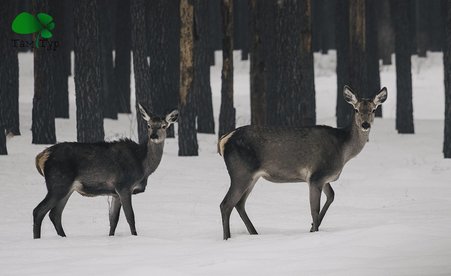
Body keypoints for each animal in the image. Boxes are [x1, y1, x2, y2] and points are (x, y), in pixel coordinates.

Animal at [32, 104, 178, 238]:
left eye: (163, 126)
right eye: (148, 125)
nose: (153, 136)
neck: (143, 166)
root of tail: (42, 155)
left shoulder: (115, 193)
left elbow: (113, 219)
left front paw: (110, 238)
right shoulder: (124, 186)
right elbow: (130, 217)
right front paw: (134, 236)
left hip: (67, 188)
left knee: (55, 214)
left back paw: (63, 237)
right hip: (58, 183)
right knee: (38, 211)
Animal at [217, 85, 386, 239]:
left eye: (374, 109)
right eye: (356, 109)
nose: (365, 125)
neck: (343, 150)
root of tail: (224, 139)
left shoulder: (323, 178)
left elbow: (331, 196)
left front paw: (312, 227)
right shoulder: (316, 176)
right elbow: (314, 209)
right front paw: (314, 230)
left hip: (252, 176)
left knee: (239, 204)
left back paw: (254, 233)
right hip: (241, 172)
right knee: (226, 204)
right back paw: (227, 238)